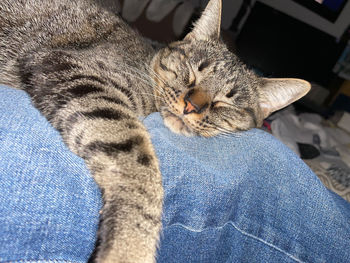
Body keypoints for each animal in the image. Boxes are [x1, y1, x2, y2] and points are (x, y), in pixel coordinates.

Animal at [0, 0, 312, 262]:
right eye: (193, 71)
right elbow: (141, 170)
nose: (191, 105)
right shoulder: (76, 69)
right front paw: (130, 247)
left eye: (226, 101)